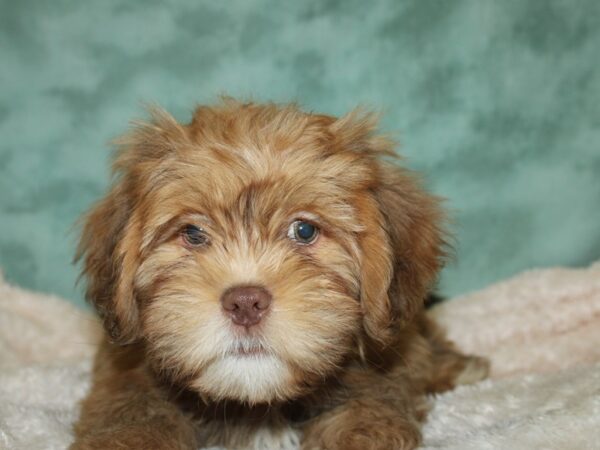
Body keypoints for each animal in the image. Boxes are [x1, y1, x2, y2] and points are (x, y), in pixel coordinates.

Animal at [70, 101, 488, 450]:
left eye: (304, 231)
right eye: (193, 234)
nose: (245, 302)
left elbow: (370, 406)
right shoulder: (125, 370)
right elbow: (132, 409)